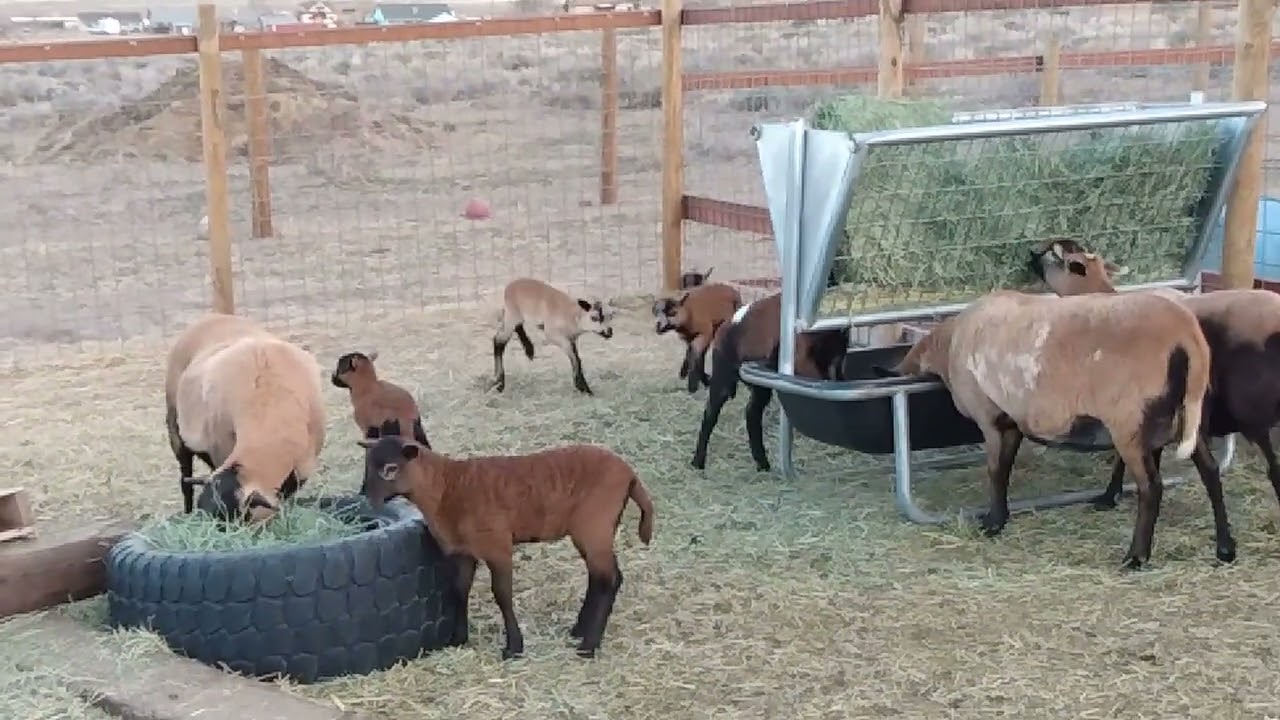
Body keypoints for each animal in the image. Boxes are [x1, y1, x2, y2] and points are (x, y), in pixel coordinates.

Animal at [356, 421, 655, 660]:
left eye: (391, 468)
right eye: (368, 465)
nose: (367, 500)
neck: (446, 488)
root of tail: (630, 474)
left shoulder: (498, 546)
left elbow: (502, 594)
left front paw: (514, 647)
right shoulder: (464, 551)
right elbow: (459, 589)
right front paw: (458, 638)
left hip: (594, 525)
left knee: (609, 579)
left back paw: (588, 646)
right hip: (593, 530)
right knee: (599, 578)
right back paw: (579, 631)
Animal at [690, 291, 852, 472]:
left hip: (758, 387)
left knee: (751, 413)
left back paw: (762, 463)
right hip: (723, 377)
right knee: (711, 414)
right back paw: (698, 462)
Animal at [879, 288, 1212, 569]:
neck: (949, 344)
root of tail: (1187, 334)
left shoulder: (990, 417)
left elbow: (996, 471)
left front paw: (992, 523)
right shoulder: (1012, 420)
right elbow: (1005, 468)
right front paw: (1000, 517)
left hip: (1129, 421)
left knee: (1151, 487)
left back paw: (1135, 557)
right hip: (1179, 417)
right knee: (1208, 469)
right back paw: (1221, 549)